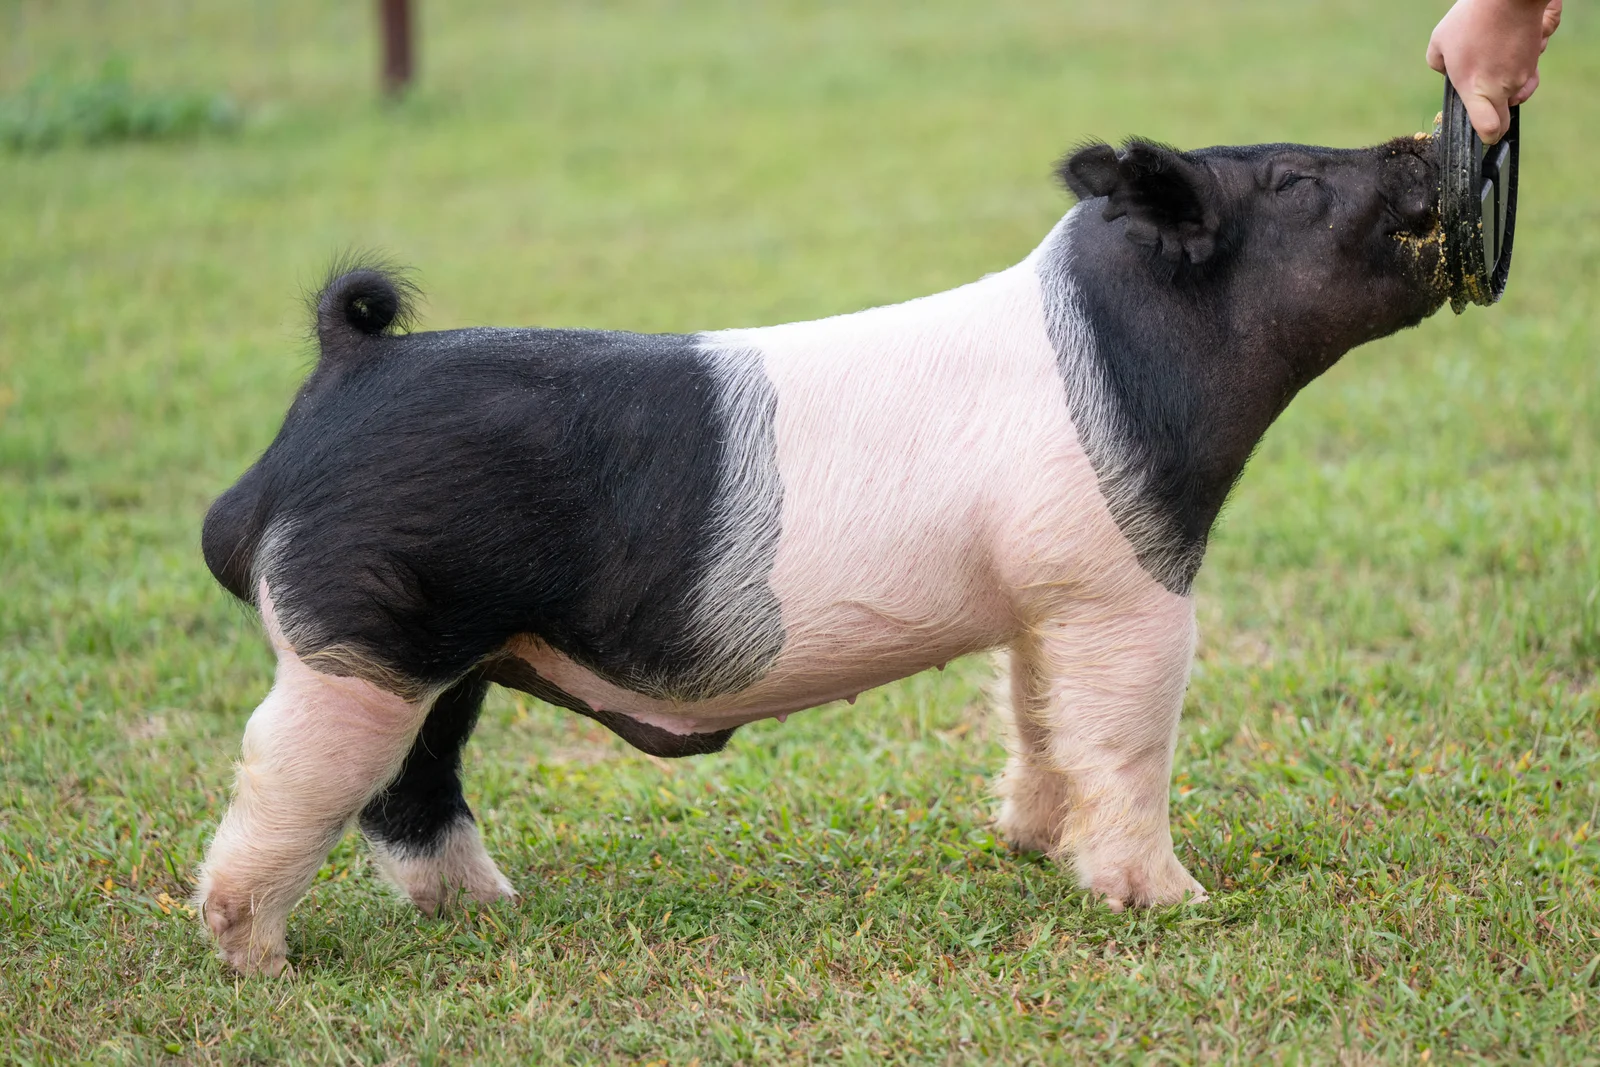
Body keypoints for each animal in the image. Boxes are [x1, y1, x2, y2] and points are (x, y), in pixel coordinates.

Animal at [195, 135, 1445, 974]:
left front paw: (1032, 845)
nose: (1415, 144)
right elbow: (1127, 740)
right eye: (1290, 182)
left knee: (409, 789)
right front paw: (1171, 901)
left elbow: (1039, 719)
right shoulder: (1123, 586)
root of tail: (343, 373)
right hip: (363, 639)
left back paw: (486, 908)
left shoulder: (1044, 599)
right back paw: (260, 959)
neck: (1125, 356)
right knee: (286, 776)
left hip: (446, 653)